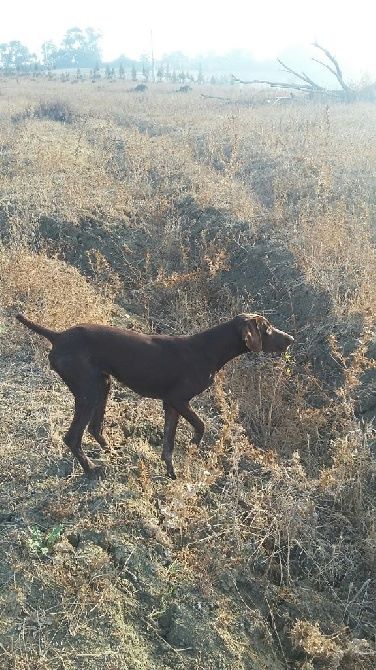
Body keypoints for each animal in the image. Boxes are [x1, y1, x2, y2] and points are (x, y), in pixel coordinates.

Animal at [16, 314, 294, 478]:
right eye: (268, 329)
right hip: (89, 390)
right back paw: (92, 469)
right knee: (73, 436)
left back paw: (113, 454)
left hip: (102, 384)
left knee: (95, 428)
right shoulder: (178, 400)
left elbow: (168, 446)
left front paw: (171, 473)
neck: (208, 350)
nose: (291, 338)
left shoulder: (170, 405)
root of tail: (58, 336)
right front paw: (193, 448)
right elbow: (201, 426)